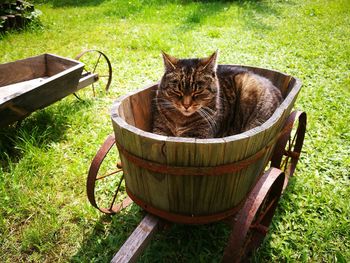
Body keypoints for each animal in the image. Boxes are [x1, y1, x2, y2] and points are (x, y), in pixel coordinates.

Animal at [152, 50, 284, 139]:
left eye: (198, 91)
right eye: (177, 91)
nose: (186, 105)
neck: (180, 120)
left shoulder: (198, 134)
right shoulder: (159, 129)